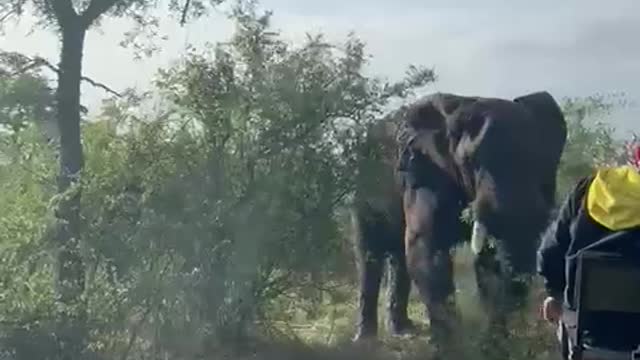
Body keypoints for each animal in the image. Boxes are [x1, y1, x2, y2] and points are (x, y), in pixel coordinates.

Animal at [352, 91, 568, 344]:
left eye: (542, 159)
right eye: (470, 162)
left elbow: (488, 260)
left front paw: (496, 343)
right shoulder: (423, 170)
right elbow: (426, 248)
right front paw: (452, 345)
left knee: (398, 257)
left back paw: (402, 330)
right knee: (369, 255)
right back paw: (365, 339)